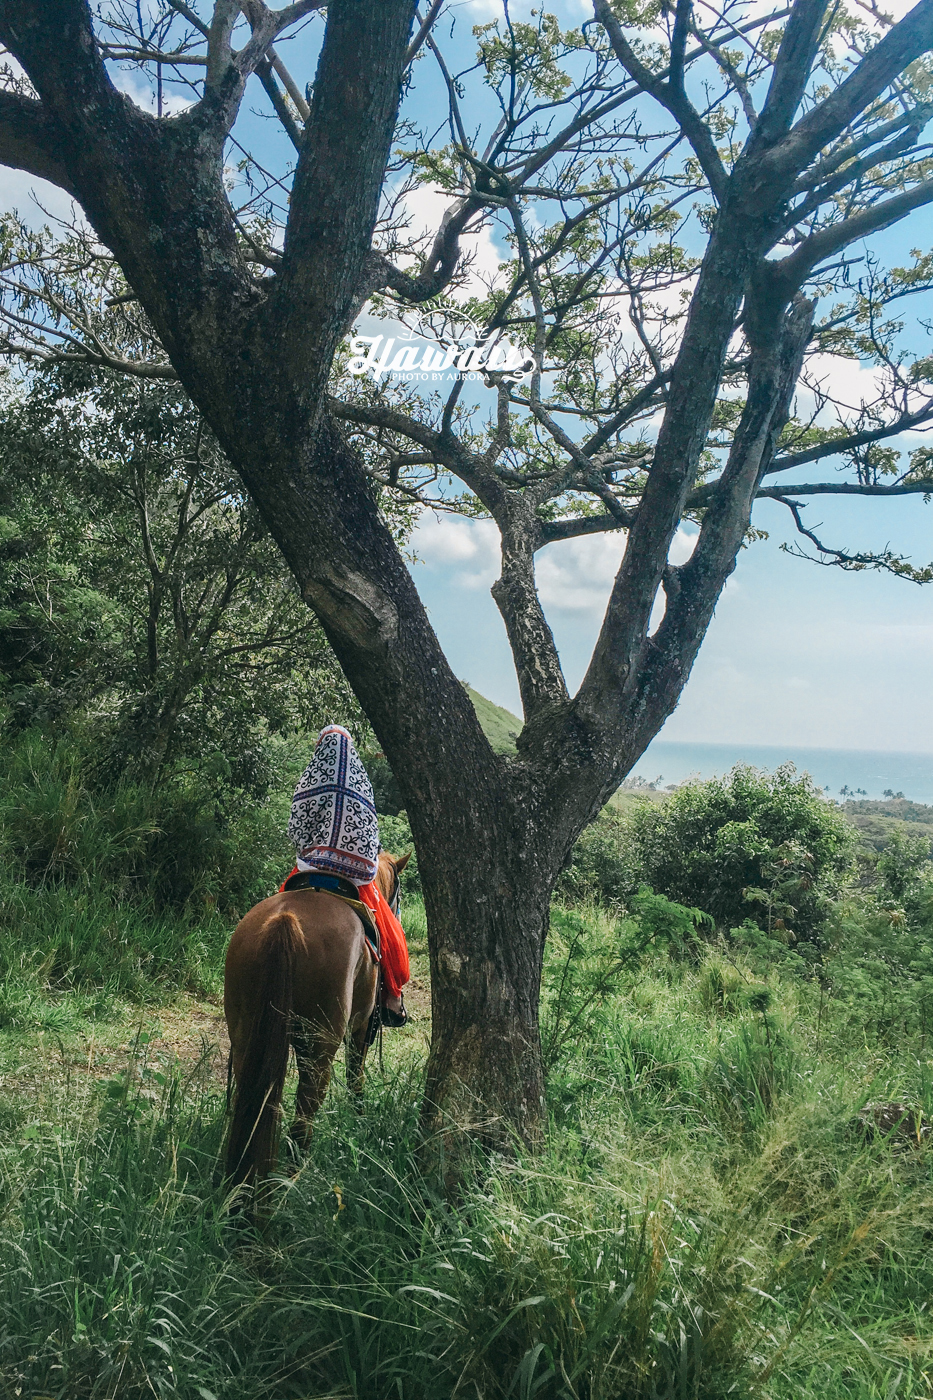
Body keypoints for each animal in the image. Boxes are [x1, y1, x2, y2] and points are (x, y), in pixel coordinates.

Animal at [221, 845, 406, 1198]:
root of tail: (285, 921)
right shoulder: (361, 1027)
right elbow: (356, 1076)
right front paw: (359, 1117)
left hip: (245, 1032)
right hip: (321, 1043)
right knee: (306, 1108)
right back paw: (295, 1175)